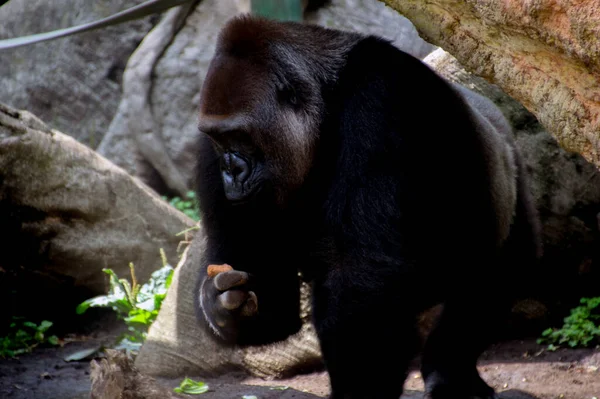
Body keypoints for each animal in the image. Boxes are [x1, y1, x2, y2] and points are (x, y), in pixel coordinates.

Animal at [195, 14, 540, 399]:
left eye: (241, 136)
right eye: (220, 139)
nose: (231, 171)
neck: (326, 101)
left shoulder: (382, 98)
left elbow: (366, 279)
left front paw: (358, 389)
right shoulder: (206, 149)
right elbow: (272, 304)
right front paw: (225, 306)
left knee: (496, 279)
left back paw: (450, 373)